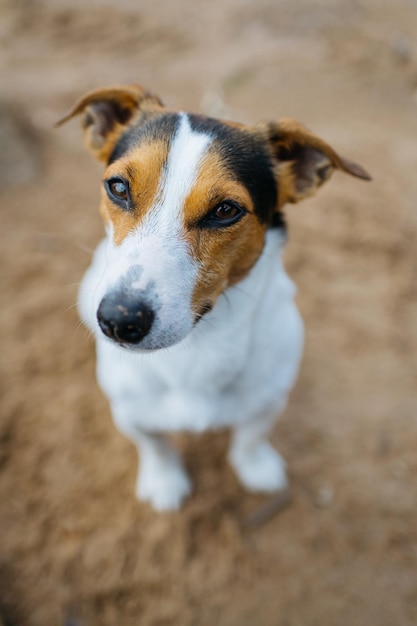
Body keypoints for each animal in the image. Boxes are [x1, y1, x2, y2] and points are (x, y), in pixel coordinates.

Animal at [56, 85, 370, 510]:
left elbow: (251, 435)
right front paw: (164, 481)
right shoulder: (129, 411)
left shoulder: (269, 400)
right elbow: (154, 445)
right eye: (117, 187)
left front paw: (255, 467)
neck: (197, 346)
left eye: (225, 210)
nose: (120, 320)